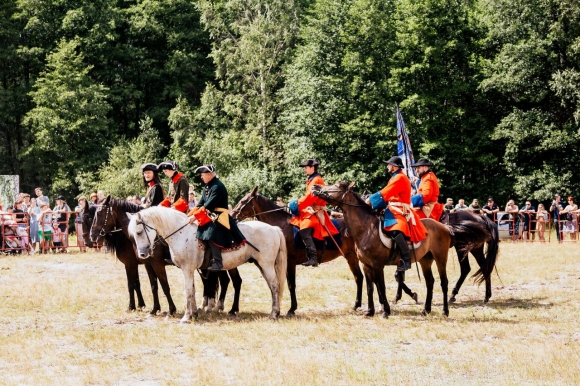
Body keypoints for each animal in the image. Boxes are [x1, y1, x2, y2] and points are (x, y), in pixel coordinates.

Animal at [129, 207, 288, 322]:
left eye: (139, 232)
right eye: (132, 234)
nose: (142, 254)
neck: (181, 233)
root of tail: (273, 228)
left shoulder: (186, 269)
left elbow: (188, 291)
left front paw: (186, 317)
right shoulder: (191, 270)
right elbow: (193, 290)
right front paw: (193, 313)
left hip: (266, 264)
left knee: (274, 285)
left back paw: (274, 313)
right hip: (261, 265)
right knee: (270, 286)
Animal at [231, 187, 362, 316]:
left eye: (243, 201)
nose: (232, 216)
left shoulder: (290, 263)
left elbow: (290, 285)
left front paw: (291, 309)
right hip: (350, 257)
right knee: (358, 277)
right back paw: (356, 305)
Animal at [312, 182, 490, 318]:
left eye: (335, 186)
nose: (315, 186)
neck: (366, 228)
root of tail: (445, 227)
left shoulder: (377, 265)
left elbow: (381, 286)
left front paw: (386, 310)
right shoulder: (366, 265)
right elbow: (370, 288)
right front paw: (370, 312)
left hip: (441, 258)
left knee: (444, 282)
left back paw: (445, 310)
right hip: (425, 260)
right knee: (430, 282)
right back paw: (426, 310)